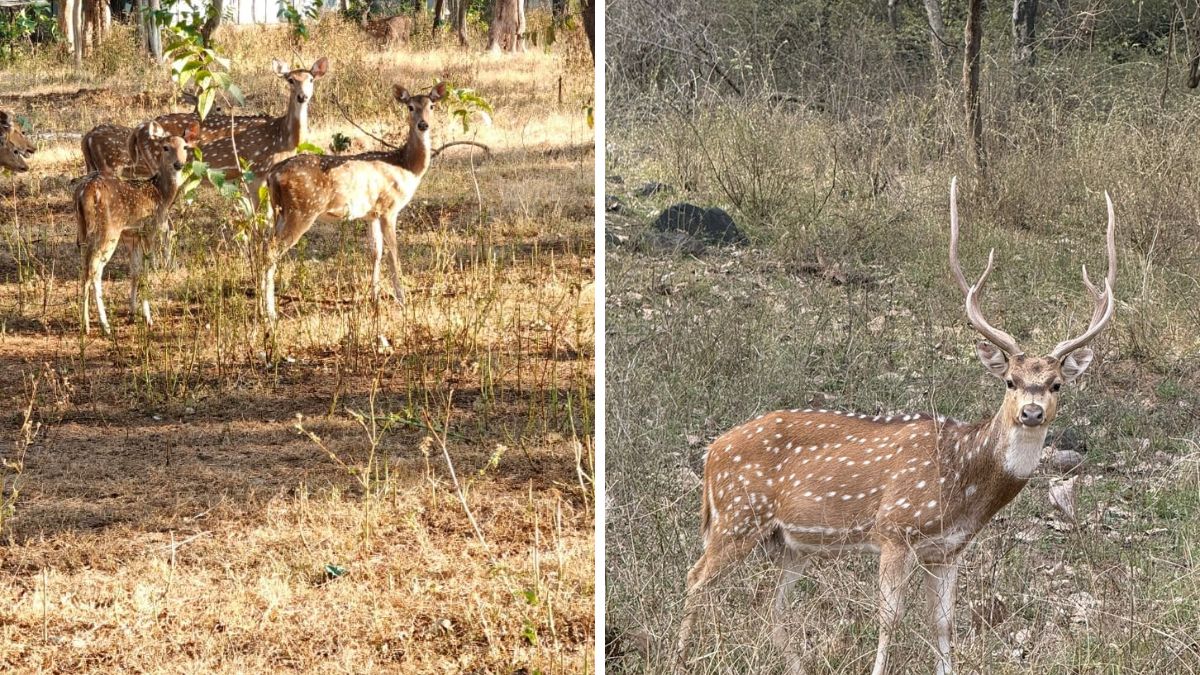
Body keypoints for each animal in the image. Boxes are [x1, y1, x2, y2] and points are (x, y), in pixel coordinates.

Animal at [76, 121, 199, 334]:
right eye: (165, 147)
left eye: (185, 147)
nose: (179, 164)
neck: (161, 194)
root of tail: (85, 192)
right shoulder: (149, 230)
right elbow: (145, 272)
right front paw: (148, 318)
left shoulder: (131, 235)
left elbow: (134, 271)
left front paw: (132, 312)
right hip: (108, 230)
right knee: (95, 270)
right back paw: (102, 325)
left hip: (83, 230)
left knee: (85, 268)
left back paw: (89, 323)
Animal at [259, 81, 446, 321]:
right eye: (410, 107)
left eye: (432, 105)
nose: (423, 124)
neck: (406, 167)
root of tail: (272, 175)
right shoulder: (389, 207)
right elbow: (393, 252)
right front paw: (402, 300)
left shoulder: (372, 213)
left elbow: (376, 251)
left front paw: (375, 298)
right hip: (302, 210)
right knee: (272, 249)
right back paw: (271, 312)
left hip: (280, 212)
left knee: (264, 245)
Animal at [677, 178, 1117, 675]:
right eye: (1010, 380)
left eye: (1057, 384)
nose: (1032, 412)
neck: (962, 481)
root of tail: (712, 453)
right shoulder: (894, 529)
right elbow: (889, 619)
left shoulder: (948, 551)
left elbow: (943, 625)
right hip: (738, 514)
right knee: (696, 577)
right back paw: (680, 654)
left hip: (790, 543)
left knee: (772, 608)